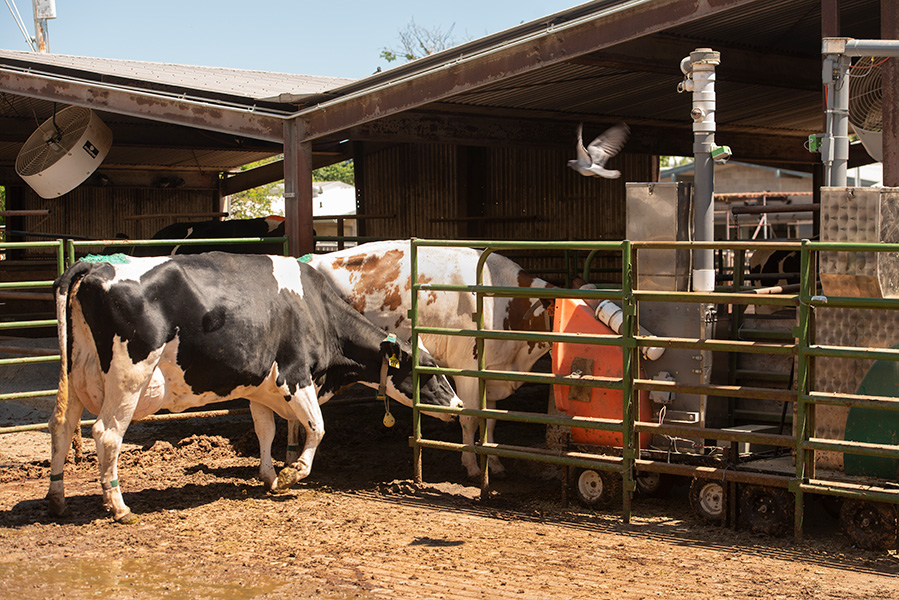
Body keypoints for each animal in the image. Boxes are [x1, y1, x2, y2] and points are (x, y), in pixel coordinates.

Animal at [45, 251, 460, 524]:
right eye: (428, 370)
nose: (457, 406)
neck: (318, 311)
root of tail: (95, 263)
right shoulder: (296, 374)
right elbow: (317, 428)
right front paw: (293, 474)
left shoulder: (261, 387)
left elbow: (267, 430)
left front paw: (270, 476)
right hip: (128, 376)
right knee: (106, 433)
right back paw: (119, 507)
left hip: (76, 375)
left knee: (62, 427)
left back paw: (57, 499)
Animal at [304, 239, 556, 478]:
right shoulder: (468, 370)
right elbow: (469, 419)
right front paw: (472, 466)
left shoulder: (490, 373)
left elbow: (489, 422)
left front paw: (494, 463)